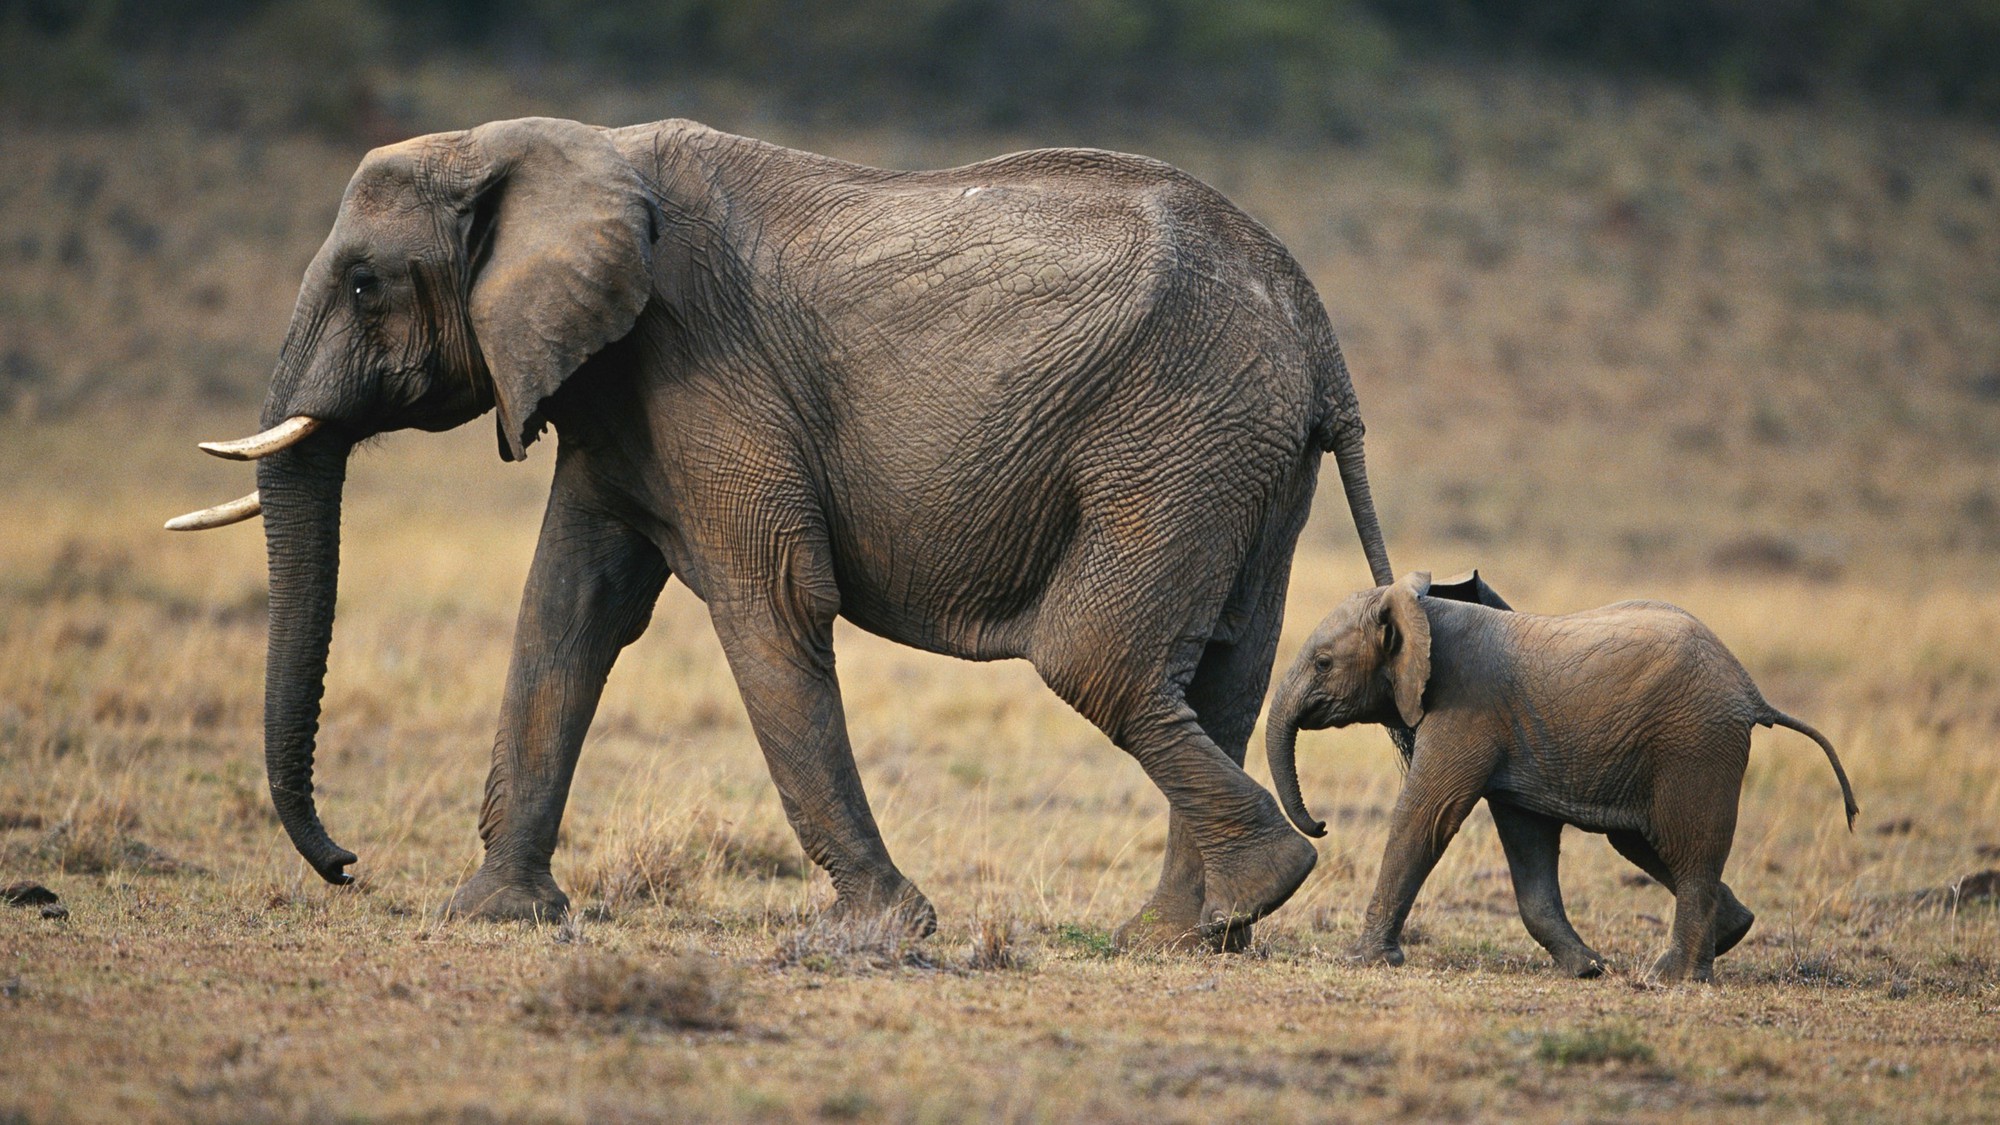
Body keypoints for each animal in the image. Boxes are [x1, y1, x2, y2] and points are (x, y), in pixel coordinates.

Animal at [172, 120, 1392, 944]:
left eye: (365, 284)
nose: (345, 863)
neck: (545, 146)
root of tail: (1320, 330)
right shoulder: (616, 396)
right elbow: (567, 610)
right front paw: (494, 916)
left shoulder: (702, 366)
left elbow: (770, 602)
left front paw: (882, 933)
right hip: (1243, 456)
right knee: (1221, 673)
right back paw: (1186, 933)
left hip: (1179, 430)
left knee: (1096, 660)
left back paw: (1254, 888)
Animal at [1264, 568, 1856, 980]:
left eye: (1322, 663)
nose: (1321, 826)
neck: (1422, 611)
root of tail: (1752, 691)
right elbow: (1526, 840)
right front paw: (1586, 969)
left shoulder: (1467, 709)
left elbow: (1427, 815)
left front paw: (1363, 961)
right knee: (1648, 843)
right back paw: (1731, 935)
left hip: (1695, 745)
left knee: (1687, 847)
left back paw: (1670, 977)